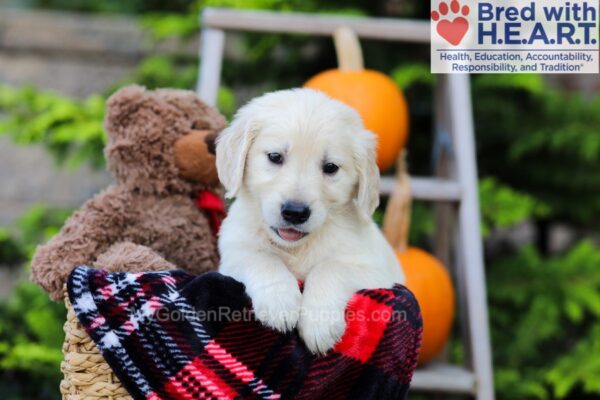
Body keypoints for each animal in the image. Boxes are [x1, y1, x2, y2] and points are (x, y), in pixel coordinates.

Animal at [214, 87, 404, 354]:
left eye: (330, 167)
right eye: (275, 156)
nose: (295, 212)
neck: (297, 247)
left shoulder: (375, 270)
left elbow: (330, 268)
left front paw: (319, 324)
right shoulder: (232, 256)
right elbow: (261, 258)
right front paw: (280, 302)